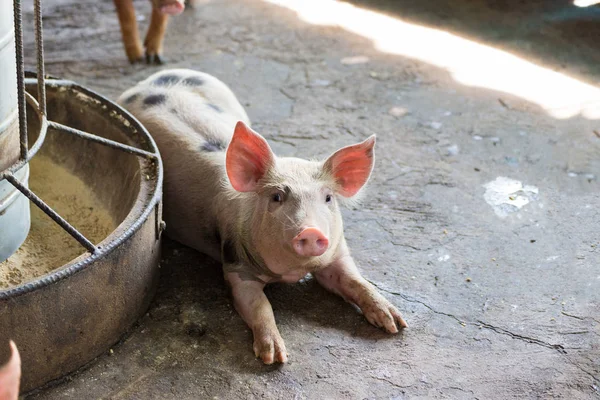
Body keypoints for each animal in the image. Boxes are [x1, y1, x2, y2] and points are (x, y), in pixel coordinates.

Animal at [117, 69, 408, 366]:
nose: (311, 231)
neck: (292, 272)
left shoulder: (337, 253)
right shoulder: (236, 266)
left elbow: (355, 281)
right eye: (277, 197)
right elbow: (259, 305)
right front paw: (274, 357)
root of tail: (155, 77)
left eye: (328, 198)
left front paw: (395, 324)